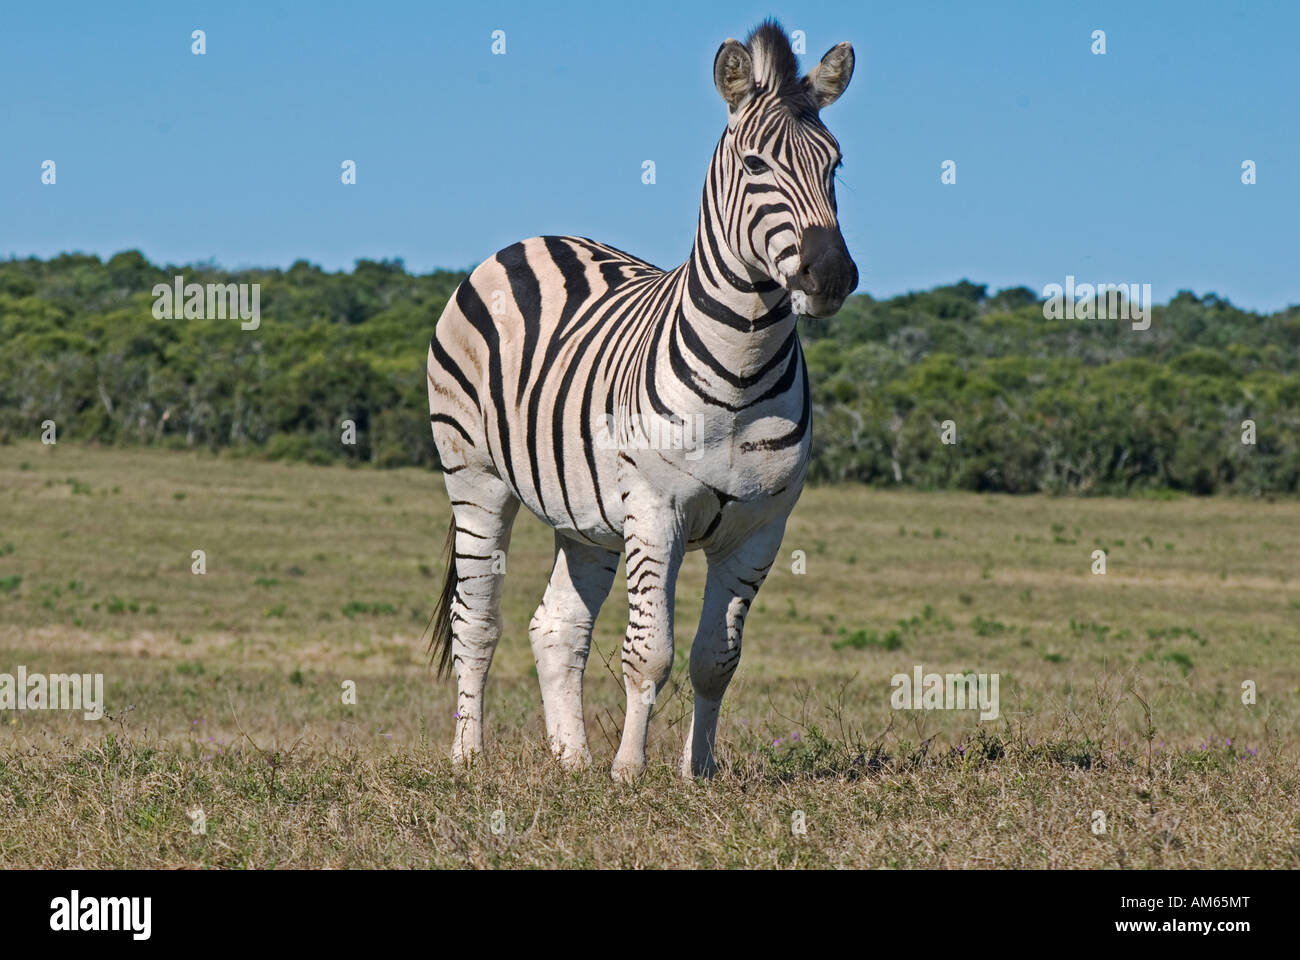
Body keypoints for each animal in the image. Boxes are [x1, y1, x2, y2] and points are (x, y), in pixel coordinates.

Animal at [423, 18, 852, 780]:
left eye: (836, 166)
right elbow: (650, 653)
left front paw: (694, 774)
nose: (830, 275)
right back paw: (468, 757)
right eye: (754, 166)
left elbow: (716, 659)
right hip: (474, 476)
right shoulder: (656, 512)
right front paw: (630, 771)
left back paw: (570, 761)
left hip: (584, 514)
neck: (742, 374)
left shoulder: (761, 529)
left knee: (556, 625)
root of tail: (533, 238)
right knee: (476, 620)